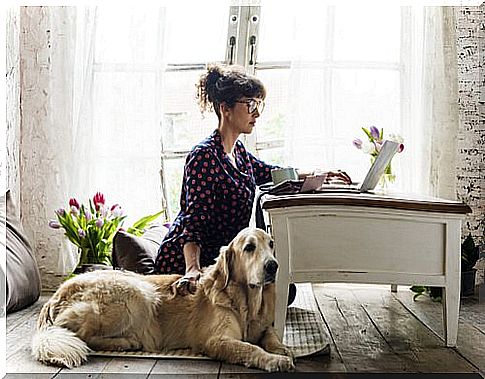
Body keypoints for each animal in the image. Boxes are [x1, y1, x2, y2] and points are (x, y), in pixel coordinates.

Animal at [33, 227, 294, 372]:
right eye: (249, 247)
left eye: (271, 245)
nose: (273, 266)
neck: (246, 300)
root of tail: (55, 296)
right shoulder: (215, 340)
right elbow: (249, 348)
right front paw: (275, 360)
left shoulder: (264, 326)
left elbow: (270, 335)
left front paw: (282, 349)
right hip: (137, 293)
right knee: (83, 336)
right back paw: (125, 343)